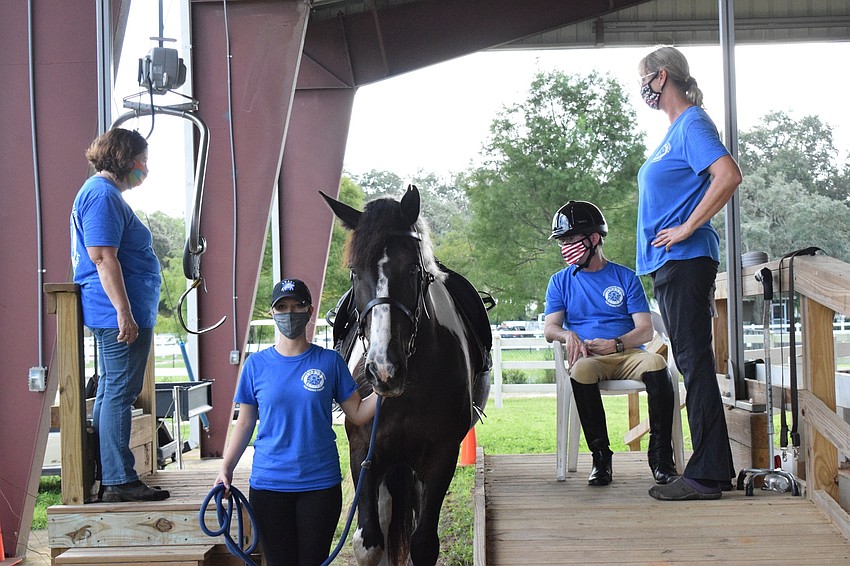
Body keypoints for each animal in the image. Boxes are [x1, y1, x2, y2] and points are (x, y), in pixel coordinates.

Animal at [321, 185, 488, 565]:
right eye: (354, 271)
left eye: (413, 269)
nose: (384, 369)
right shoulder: (363, 454)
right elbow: (369, 543)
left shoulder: (441, 456)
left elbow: (423, 544)